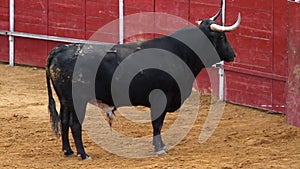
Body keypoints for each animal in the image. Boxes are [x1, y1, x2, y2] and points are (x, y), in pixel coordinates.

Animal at [45, 13, 240, 160]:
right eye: (221, 36)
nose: (233, 54)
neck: (179, 53)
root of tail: (60, 49)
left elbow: (158, 125)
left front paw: (161, 146)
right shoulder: (161, 99)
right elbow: (157, 124)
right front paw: (159, 149)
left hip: (65, 101)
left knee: (63, 121)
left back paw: (68, 151)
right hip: (77, 100)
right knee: (75, 124)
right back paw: (84, 154)